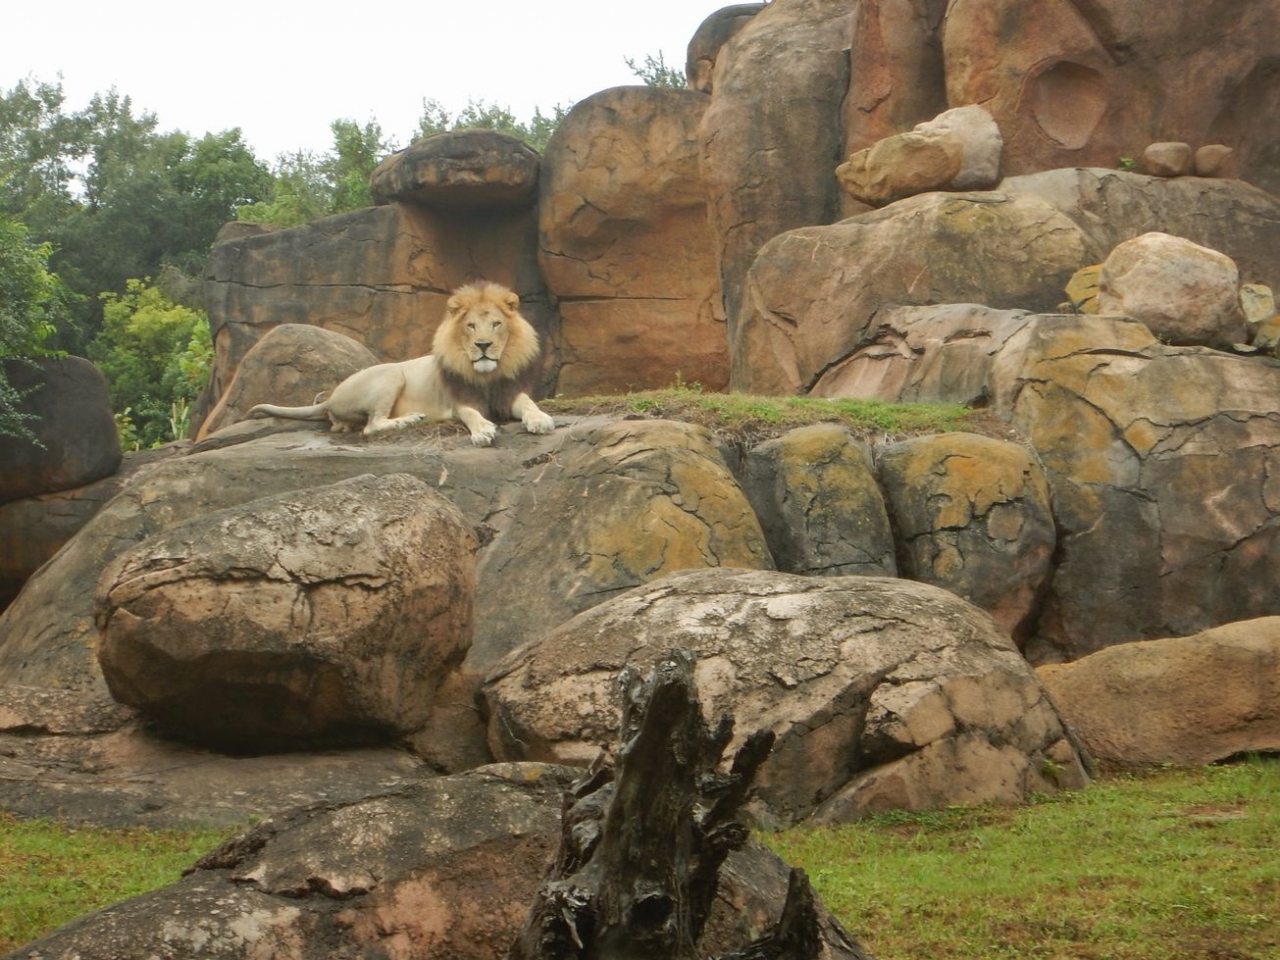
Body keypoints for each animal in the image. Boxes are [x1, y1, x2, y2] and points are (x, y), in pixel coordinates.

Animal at [244, 276, 555, 445]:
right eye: (470, 326)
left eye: (496, 324)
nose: (483, 345)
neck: (487, 374)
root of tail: (330, 398)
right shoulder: (459, 401)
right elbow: (471, 414)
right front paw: (482, 431)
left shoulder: (509, 392)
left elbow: (528, 403)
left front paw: (541, 419)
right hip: (390, 374)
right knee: (372, 425)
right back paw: (410, 419)